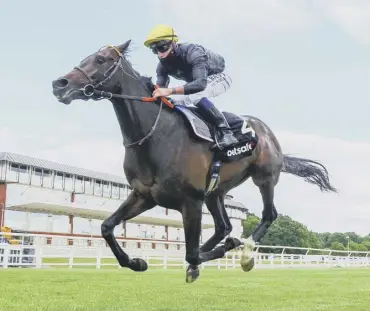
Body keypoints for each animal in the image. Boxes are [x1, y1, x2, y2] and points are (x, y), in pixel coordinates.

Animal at [52, 40, 338, 284]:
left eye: (101, 60)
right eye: (86, 58)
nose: (60, 83)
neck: (155, 135)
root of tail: (267, 133)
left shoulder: (191, 200)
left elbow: (190, 251)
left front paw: (220, 251)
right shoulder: (144, 195)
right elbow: (106, 227)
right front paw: (136, 262)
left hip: (264, 178)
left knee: (268, 214)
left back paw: (244, 252)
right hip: (216, 191)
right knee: (223, 226)